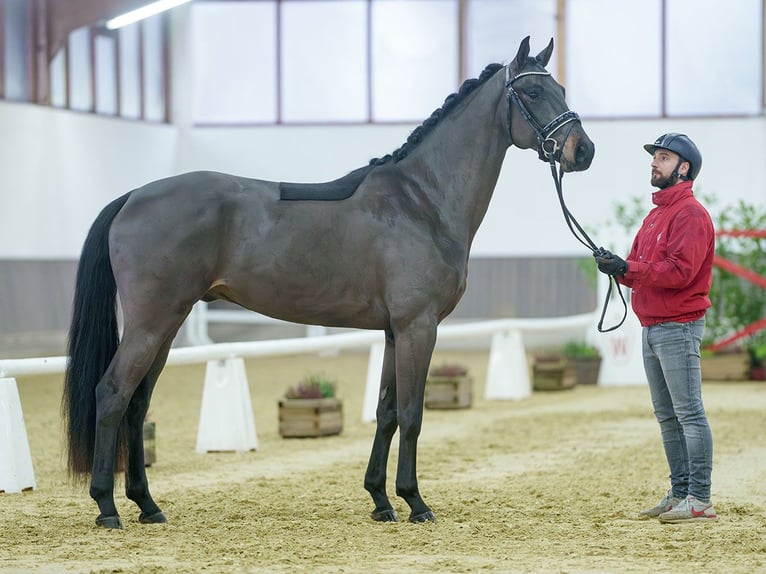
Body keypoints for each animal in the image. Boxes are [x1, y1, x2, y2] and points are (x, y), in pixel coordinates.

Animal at [63, 36, 596, 532]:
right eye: (532, 91)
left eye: (562, 90)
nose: (583, 151)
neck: (421, 200)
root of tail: (134, 196)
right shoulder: (418, 326)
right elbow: (412, 413)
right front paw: (415, 501)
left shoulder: (393, 331)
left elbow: (386, 412)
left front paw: (380, 500)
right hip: (152, 321)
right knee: (112, 394)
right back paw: (108, 507)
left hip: (169, 323)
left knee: (137, 404)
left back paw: (148, 506)